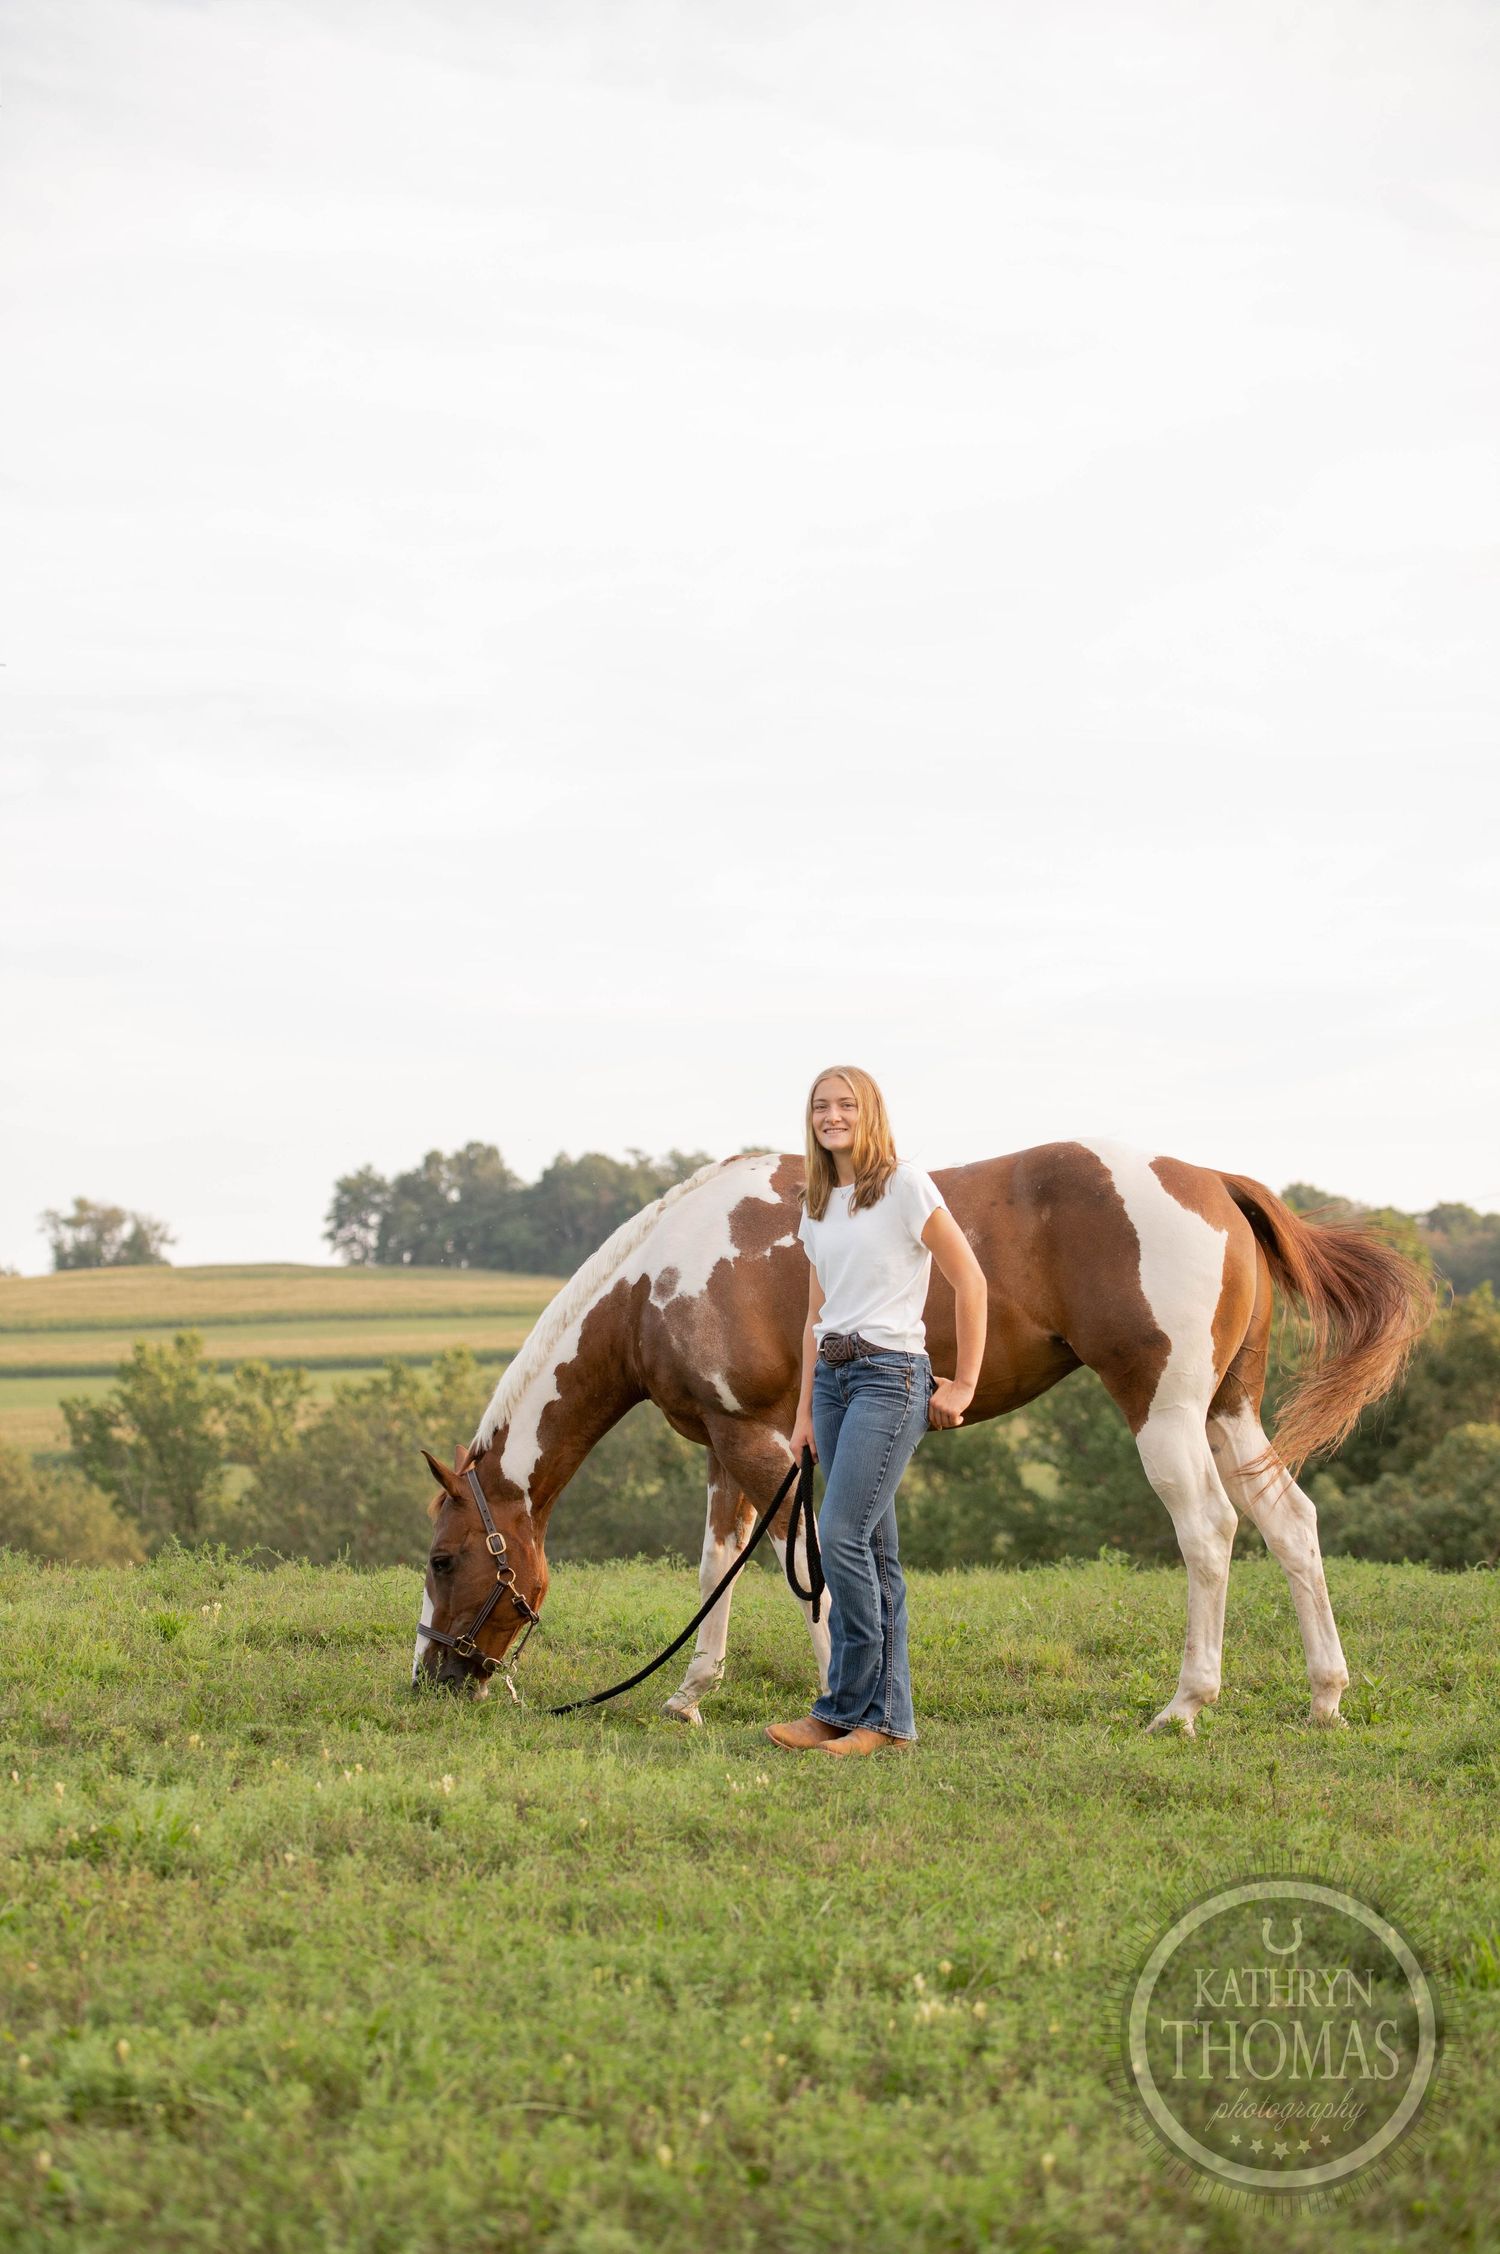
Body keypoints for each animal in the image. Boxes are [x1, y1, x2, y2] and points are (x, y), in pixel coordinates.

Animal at [414, 1142, 1434, 1733]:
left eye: (442, 1558)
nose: (433, 1677)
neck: (661, 1281)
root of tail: (1215, 1182)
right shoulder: (724, 1442)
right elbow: (718, 1568)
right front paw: (690, 1693)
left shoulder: (754, 1441)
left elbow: (805, 1567)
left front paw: (835, 1704)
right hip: (1230, 1409)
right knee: (1290, 1523)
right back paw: (1325, 1698)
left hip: (1166, 1410)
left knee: (1211, 1534)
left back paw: (1184, 1706)